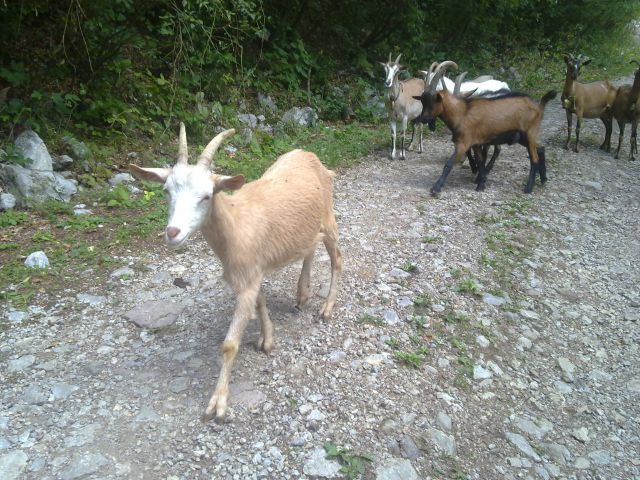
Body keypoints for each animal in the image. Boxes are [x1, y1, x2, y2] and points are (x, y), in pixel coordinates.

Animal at [127, 124, 342, 424]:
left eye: (207, 196)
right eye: (167, 191)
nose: (173, 233)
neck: (235, 222)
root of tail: (311, 156)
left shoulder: (248, 278)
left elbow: (229, 344)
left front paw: (218, 403)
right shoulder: (251, 272)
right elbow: (261, 303)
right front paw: (267, 339)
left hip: (329, 217)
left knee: (337, 259)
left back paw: (327, 307)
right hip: (308, 227)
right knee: (309, 248)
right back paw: (302, 294)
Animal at [412, 63, 556, 195]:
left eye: (432, 101)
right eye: (422, 101)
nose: (422, 119)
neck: (462, 113)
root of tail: (538, 107)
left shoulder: (464, 143)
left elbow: (449, 164)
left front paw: (436, 188)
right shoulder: (476, 143)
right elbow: (480, 162)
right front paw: (480, 184)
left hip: (529, 133)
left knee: (534, 158)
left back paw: (528, 188)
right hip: (523, 137)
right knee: (541, 148)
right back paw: (543, 179)